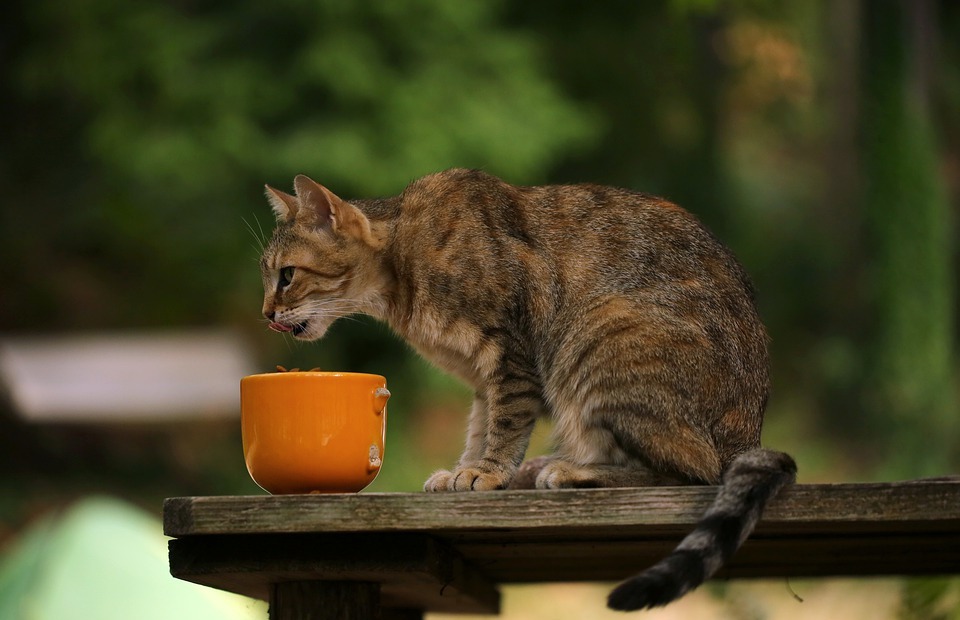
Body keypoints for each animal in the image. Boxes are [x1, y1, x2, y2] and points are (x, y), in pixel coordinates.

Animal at [258, 170, 800, 612]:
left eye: (287, 275)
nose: (265, 313)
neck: (401, 269)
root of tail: (747, 436)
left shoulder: (511, 353)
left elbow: (506, 423)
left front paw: (487, 473)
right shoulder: (484, 378)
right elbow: (480, 427)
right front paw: (467, 470)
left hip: (600, 335)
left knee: (690, 472)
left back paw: (570, 471)